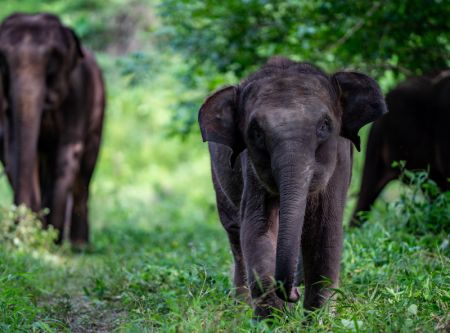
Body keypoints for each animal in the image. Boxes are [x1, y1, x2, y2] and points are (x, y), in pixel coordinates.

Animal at [0, 13, 105, 244]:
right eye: (3, 60)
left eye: (53, 58)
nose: (18, 231)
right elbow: (13, 150)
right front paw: (34, 234)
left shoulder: (78, 92)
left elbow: (68, 152)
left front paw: (50, 238)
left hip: (99, 112)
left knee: (84, 174)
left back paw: (78, 245)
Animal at [200, 57, 386, 316]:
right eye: (256, 132)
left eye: (324, 125)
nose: (293, 294)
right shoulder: (252, 168)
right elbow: (258, 229)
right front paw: (272, 319)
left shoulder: (339, 162)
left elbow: (325, 232)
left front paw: (319, 320)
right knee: (235, 234)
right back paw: (239, 310)